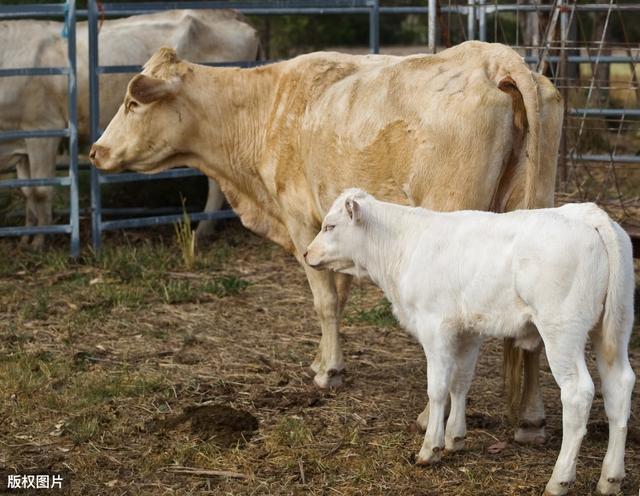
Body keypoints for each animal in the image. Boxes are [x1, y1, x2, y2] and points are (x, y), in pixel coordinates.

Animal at [91, 40, 564, 440]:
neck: (266, 108)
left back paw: (430, 417)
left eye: (133, 103)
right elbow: (340, 292)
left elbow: (325, 300)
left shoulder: (302, 220)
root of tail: (496, 59)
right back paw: (530, 418)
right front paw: (324, 359)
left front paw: (327, 372)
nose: (95, 151)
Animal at [304, 188, 636, 494]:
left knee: (578, 393)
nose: (307, 253)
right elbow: (460, 381)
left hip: (562, 329)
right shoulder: (468, 331)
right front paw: (455, 438)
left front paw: (430, 448)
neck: (404, 246)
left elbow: (438, 388)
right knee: (619, 386)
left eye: (330, 226)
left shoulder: (434, 325)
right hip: (616, 326)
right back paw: (610, 478)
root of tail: (589, 214)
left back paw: (559, 480)